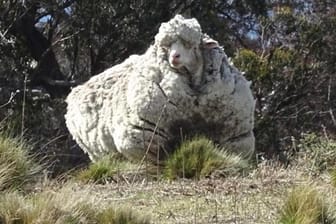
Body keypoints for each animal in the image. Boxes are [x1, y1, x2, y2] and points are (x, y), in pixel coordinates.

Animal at [65, 14, 255, 163]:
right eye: (166, 47)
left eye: (191, 45)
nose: (174, 57)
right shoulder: (145, 138)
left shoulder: (234, 138)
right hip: (97, 152)